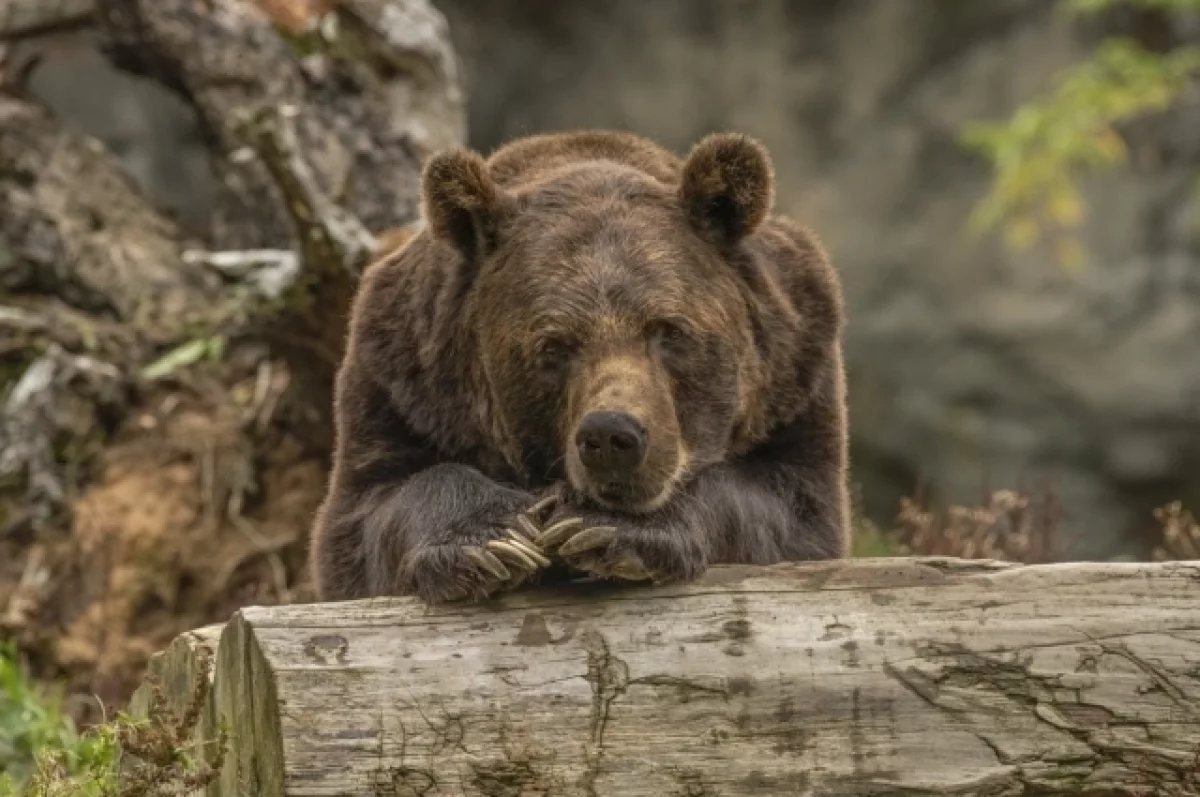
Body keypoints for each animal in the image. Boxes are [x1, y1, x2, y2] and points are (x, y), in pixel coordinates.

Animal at [309, 129, 849, 604]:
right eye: (553, 345)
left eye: (669, 329)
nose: (611, 436)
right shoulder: (401, 383)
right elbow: (370, 512)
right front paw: (493, 540)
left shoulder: (796, 374)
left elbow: (789, 509)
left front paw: (607, 527)